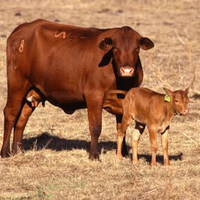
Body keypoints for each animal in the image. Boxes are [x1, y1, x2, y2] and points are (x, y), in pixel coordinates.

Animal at [1, 19, 153, 159]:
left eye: (137, 48)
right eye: (116, 48)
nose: (127, 70)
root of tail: (24, 27)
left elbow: (122, 128)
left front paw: (123, 154)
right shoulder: (94, 96)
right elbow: (95, 127)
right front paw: (94, 155)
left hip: (33, 90)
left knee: (22, 119)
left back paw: (18, 151)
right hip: (17, 84)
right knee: (11, 114)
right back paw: (5, 152)